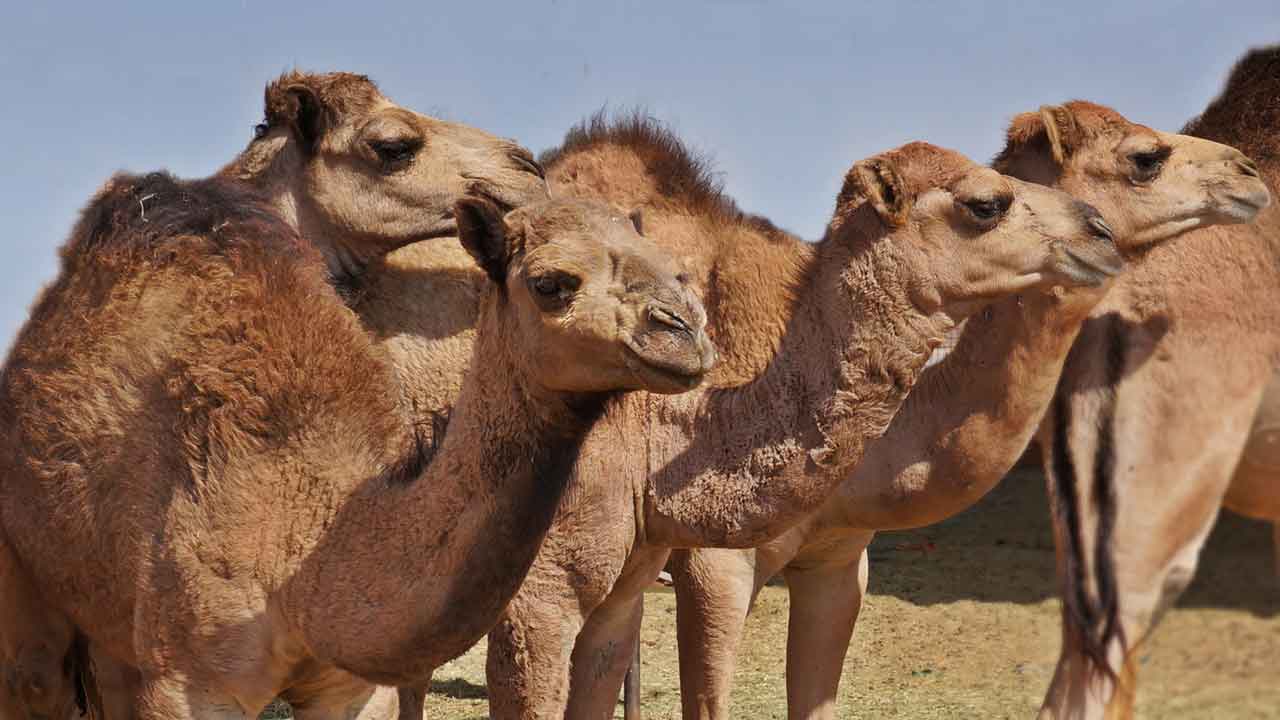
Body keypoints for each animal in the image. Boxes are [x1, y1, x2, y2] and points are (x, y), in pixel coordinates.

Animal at [0, 166, 716, 717]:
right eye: (551, 284)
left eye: (677, 273)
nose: (684, 335)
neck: (304, 541)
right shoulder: (190, 683)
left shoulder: (352, 687)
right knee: (33, 676)